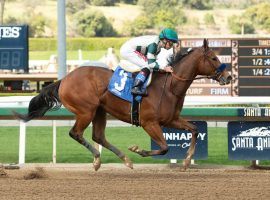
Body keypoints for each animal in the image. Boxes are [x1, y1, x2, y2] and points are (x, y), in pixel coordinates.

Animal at [13, 39, 231, 170]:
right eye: (214, 57)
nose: (228, 76)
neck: (170, 87)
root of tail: (64, 79)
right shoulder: (149, 123)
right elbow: (164, 147)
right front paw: (138, 150)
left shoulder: (171, 119)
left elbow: (194, 130)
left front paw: (186, 162)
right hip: (86, 111)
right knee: (76, 133)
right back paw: (98, 158)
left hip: (99, 111)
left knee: (98, 136)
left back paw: (123, 159)